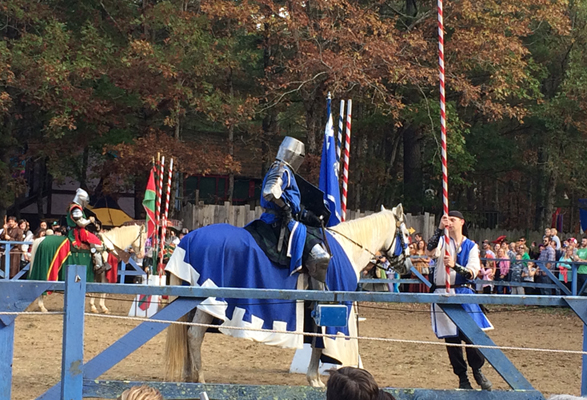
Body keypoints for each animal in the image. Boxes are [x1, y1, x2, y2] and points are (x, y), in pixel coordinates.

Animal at [165, 205, 414, 386]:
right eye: (403, 234)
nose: (406, 267)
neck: (348, 247)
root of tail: (189, 239)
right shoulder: (328, 309)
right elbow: (320, 343)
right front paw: (315, 380)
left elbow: (316, 340)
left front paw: (314, 377)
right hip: (208, 301)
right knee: (194, 335)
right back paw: (200, 378)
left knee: (185, 331)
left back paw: (188, 376)